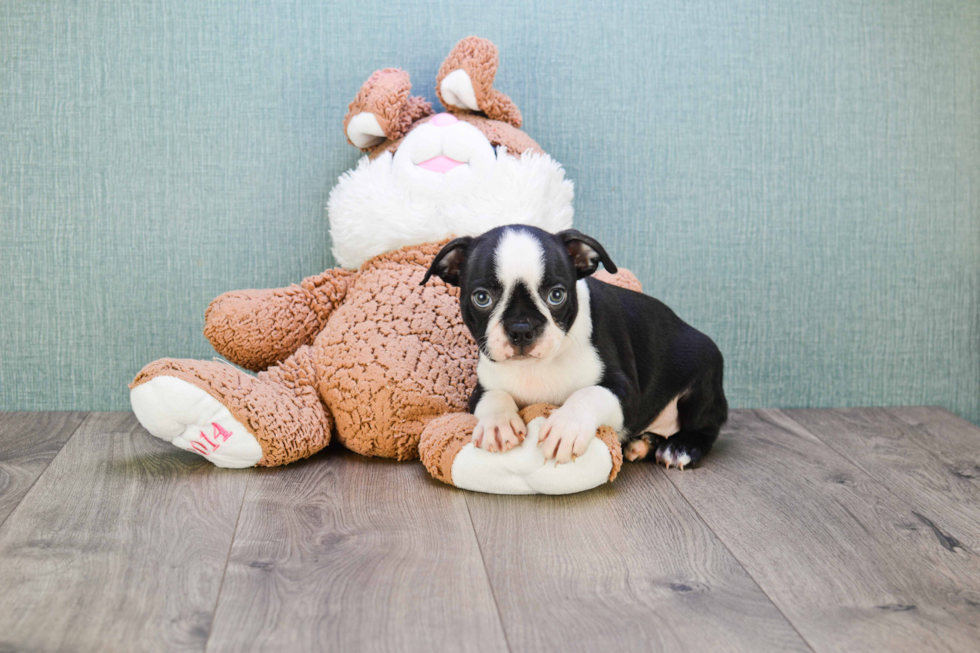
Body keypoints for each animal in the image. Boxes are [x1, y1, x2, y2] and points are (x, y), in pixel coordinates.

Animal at [422, 224, 728, 468]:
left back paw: (680, 447)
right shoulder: (481, 387)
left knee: (706, 425)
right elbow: (494, 396)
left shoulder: (625, 392)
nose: (521, 328)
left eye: (556, 295)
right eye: (482, 298)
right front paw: (498, 424)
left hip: (703, 375)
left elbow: (589, 394)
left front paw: (565, 428)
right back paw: (643, 443)